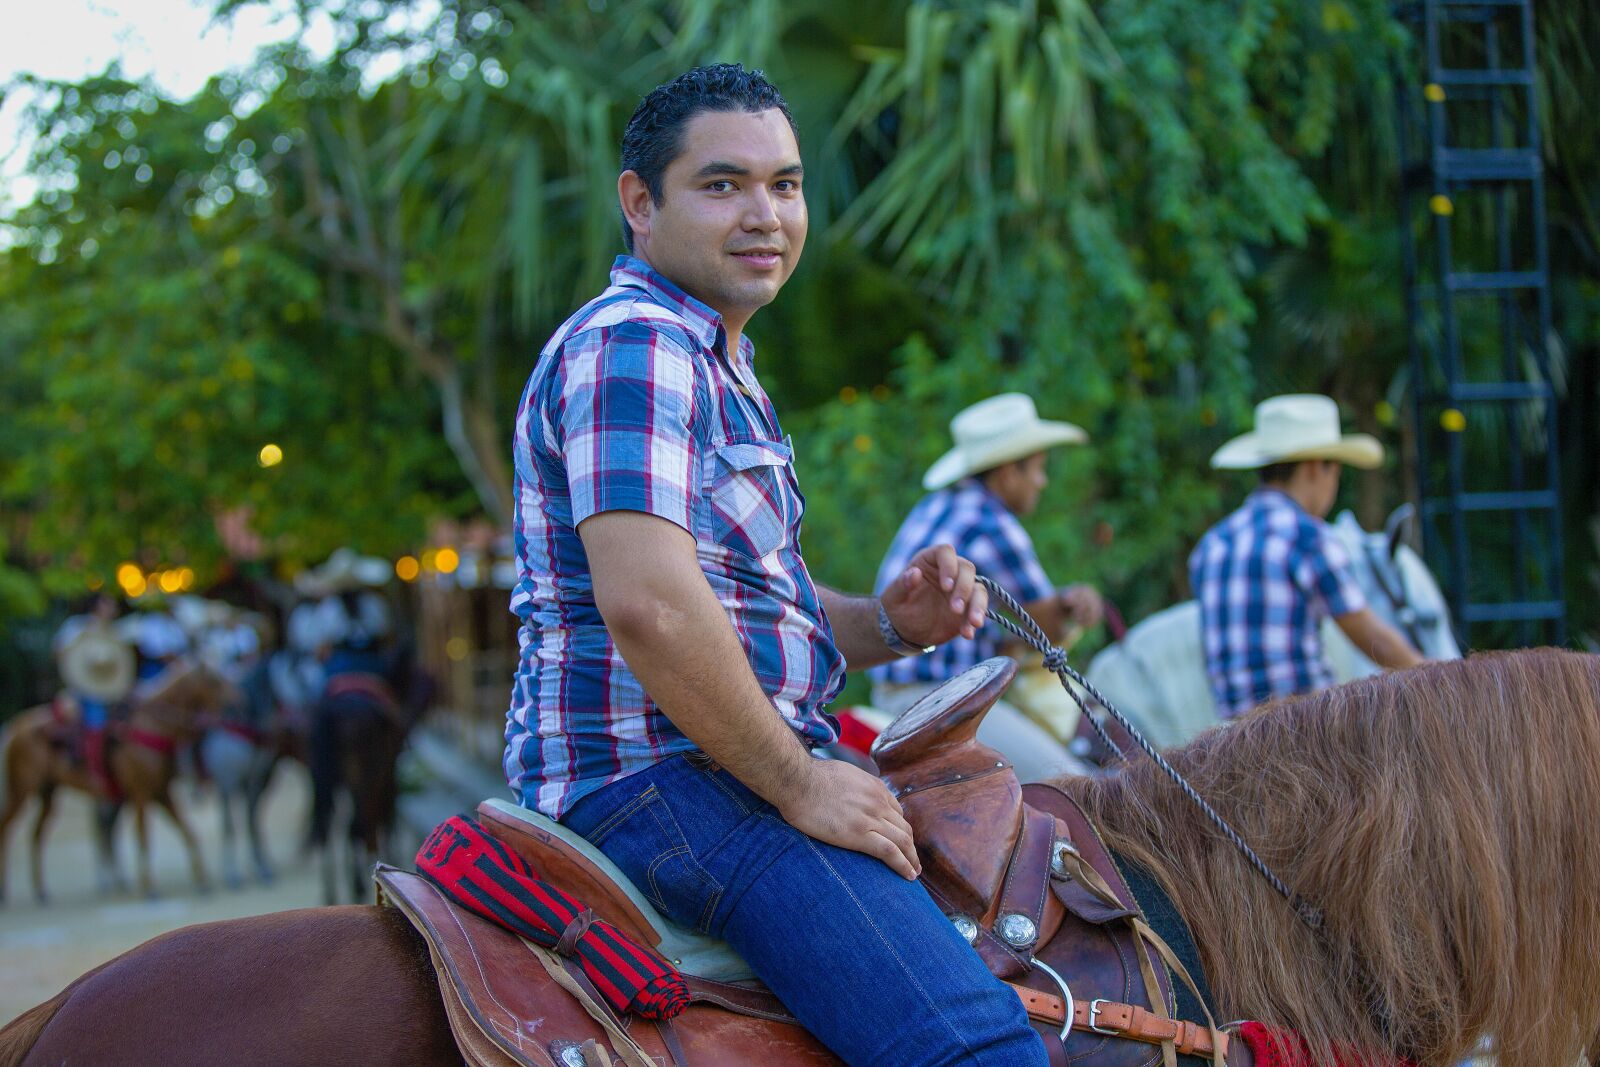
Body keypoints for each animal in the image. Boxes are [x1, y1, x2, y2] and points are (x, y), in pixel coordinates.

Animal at [0, 662, 238, 908]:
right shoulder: (142, 794)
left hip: (48, 792)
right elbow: (143, 837)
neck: (154, 725)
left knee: (38, 835)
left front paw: (202, 881)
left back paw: (43, 890)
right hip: (20, 790)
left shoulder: (161, 792)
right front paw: (150, 888)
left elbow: (189, 832)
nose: (237, 703)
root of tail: (15, 726)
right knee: (6, 828)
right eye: (214, 681)